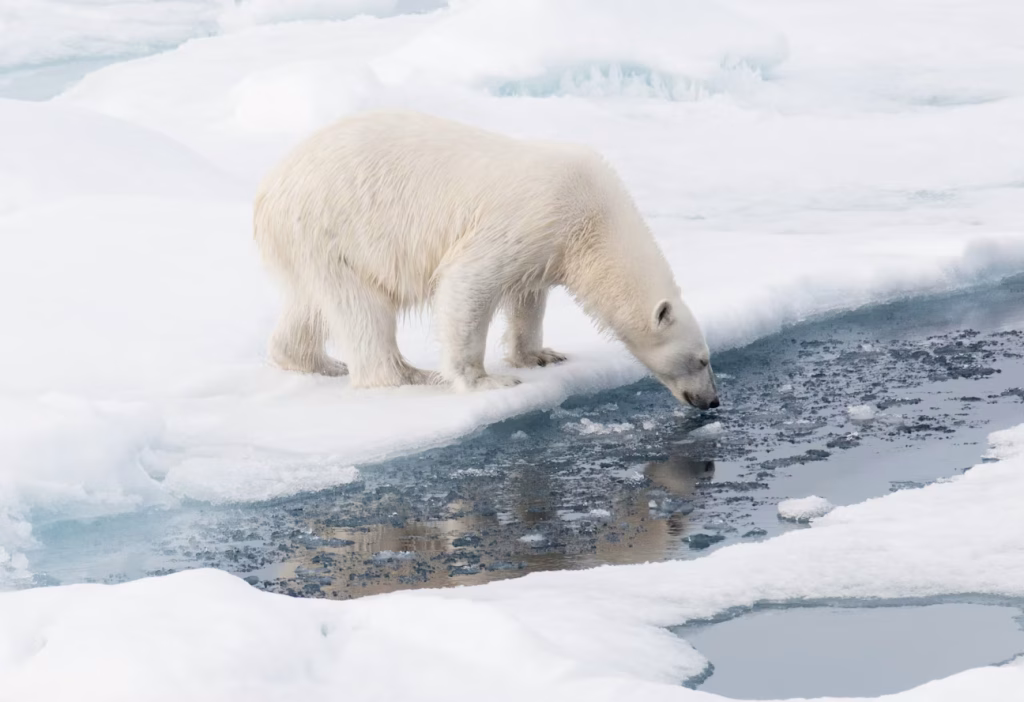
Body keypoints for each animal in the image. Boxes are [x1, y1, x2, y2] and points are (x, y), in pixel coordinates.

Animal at [254, 110, 719, 409]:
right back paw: (409, 375)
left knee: (312, 303)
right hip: (338, 226)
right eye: (702, 359)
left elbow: (529, 297)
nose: (712, 401)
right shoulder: (532, 215)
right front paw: (486, 380)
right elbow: (468, 282)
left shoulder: (549, 245)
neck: (595, 219)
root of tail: (270, 188)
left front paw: (540, 355)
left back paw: (313, 360)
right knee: (363, 310)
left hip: (311, 246)